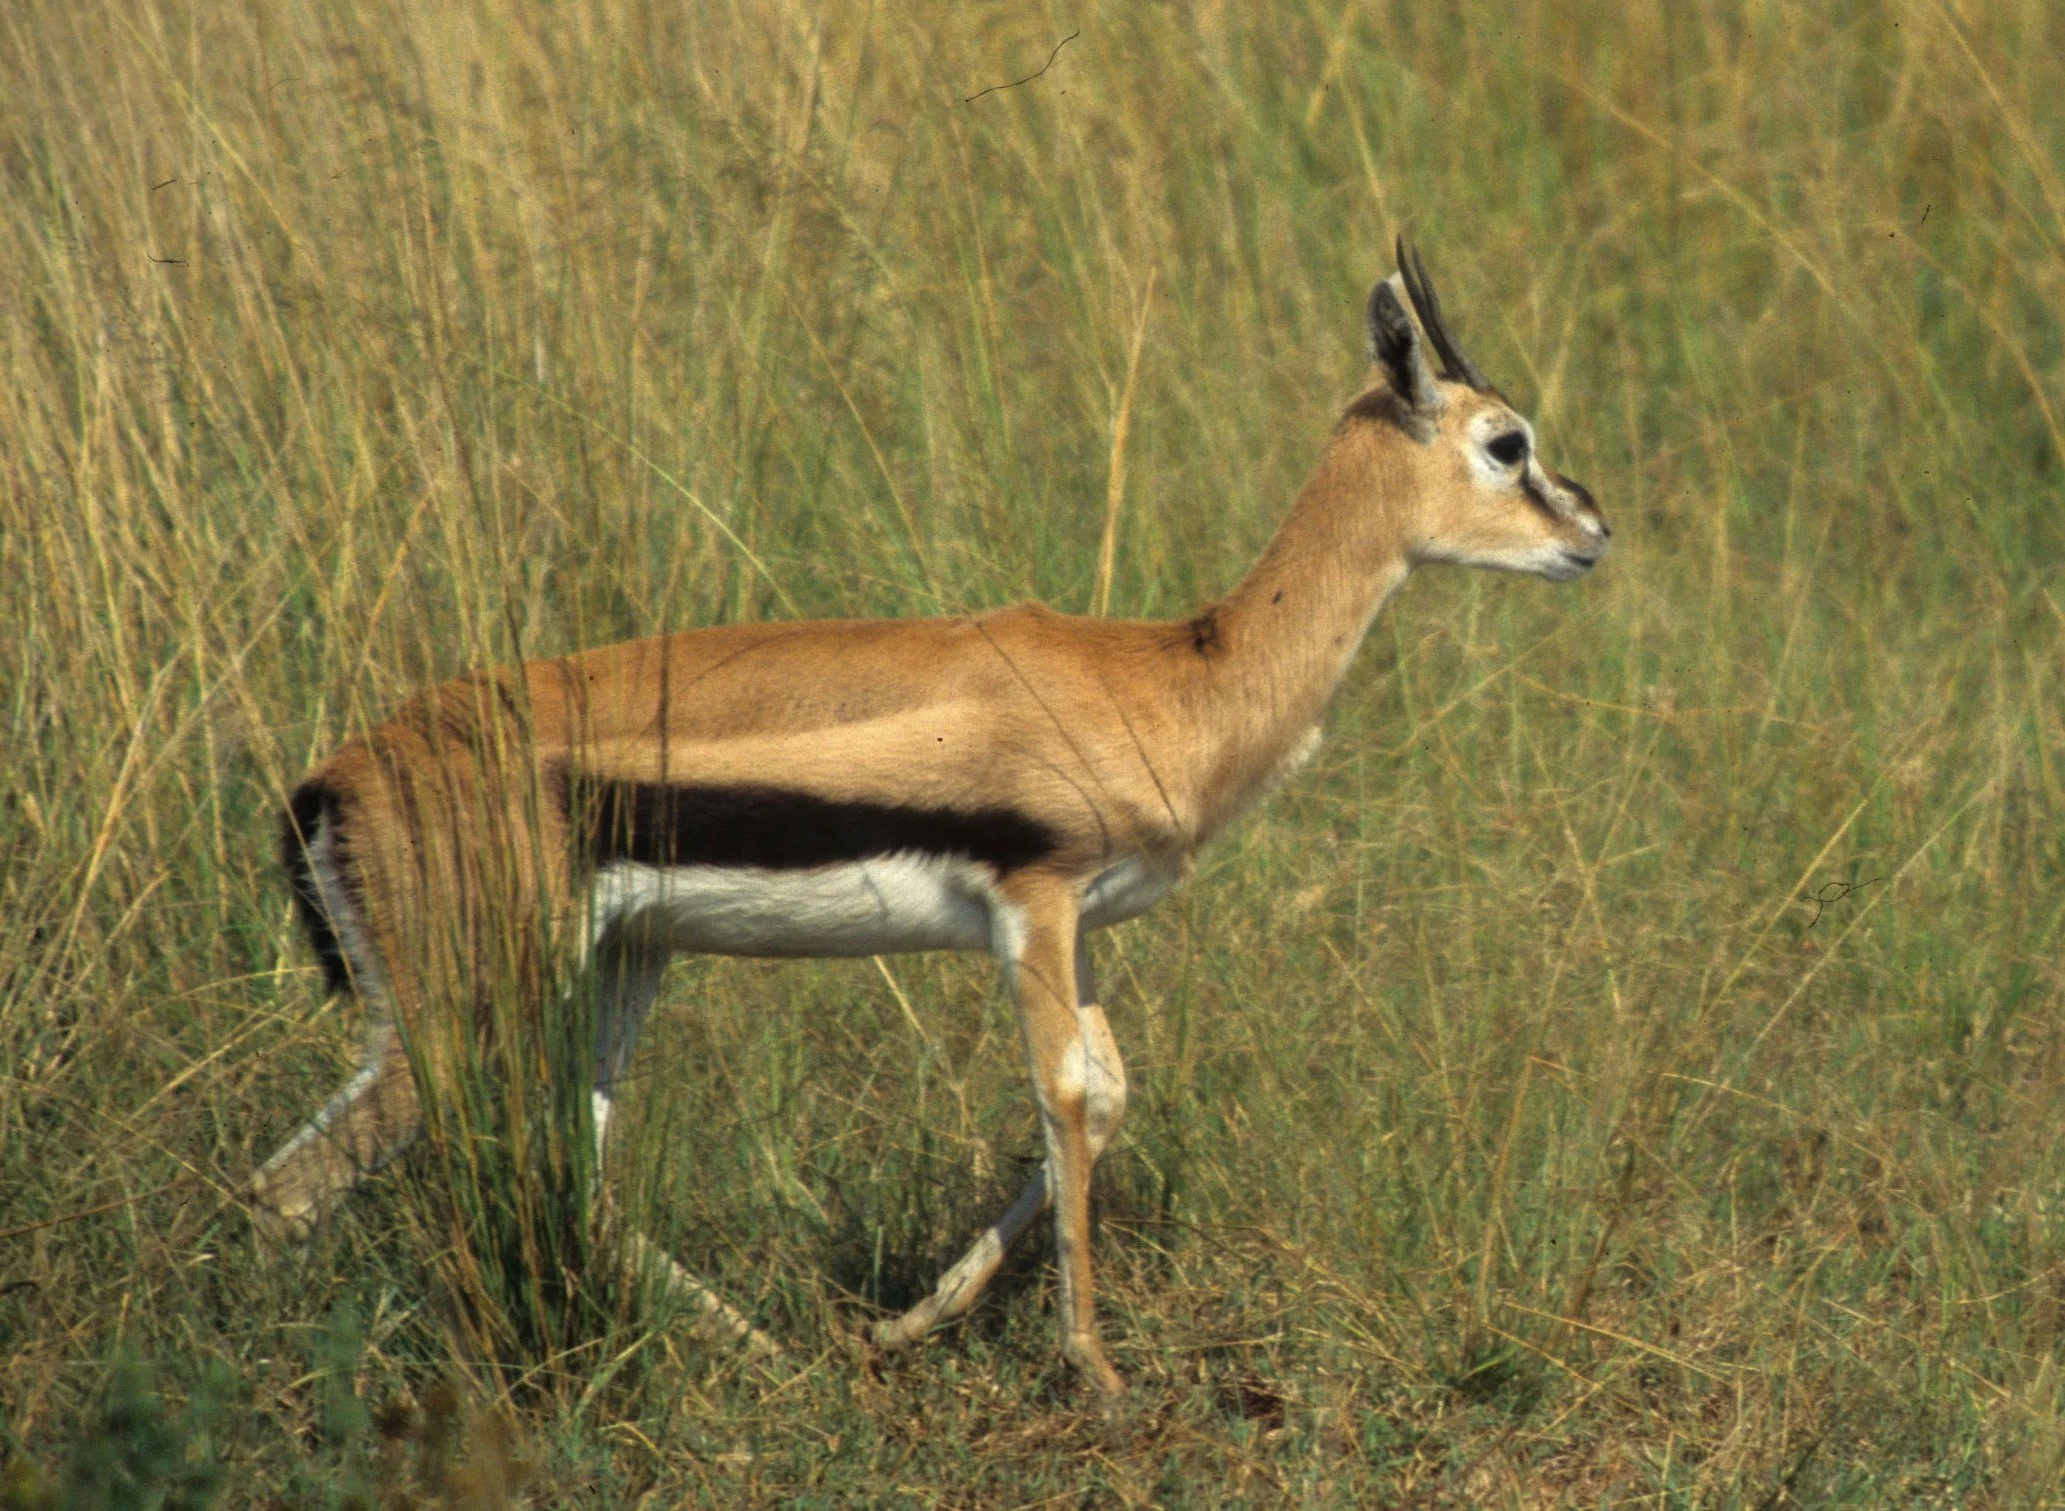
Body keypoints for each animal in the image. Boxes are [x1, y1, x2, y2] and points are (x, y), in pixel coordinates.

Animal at [253, 242, 1607, 1395]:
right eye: (1506, 442)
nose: (1592, 531)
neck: (1167, 677)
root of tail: (333, 777)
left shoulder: (1078, 922)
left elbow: (1109, 1094)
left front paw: (907, 1323)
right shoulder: (1033, 905)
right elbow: (1066, 1097)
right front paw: (1093, 1369)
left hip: (617, 960)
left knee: (570, 1161)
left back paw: (775, 1361)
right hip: (462, 1004)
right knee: (292, 1184)